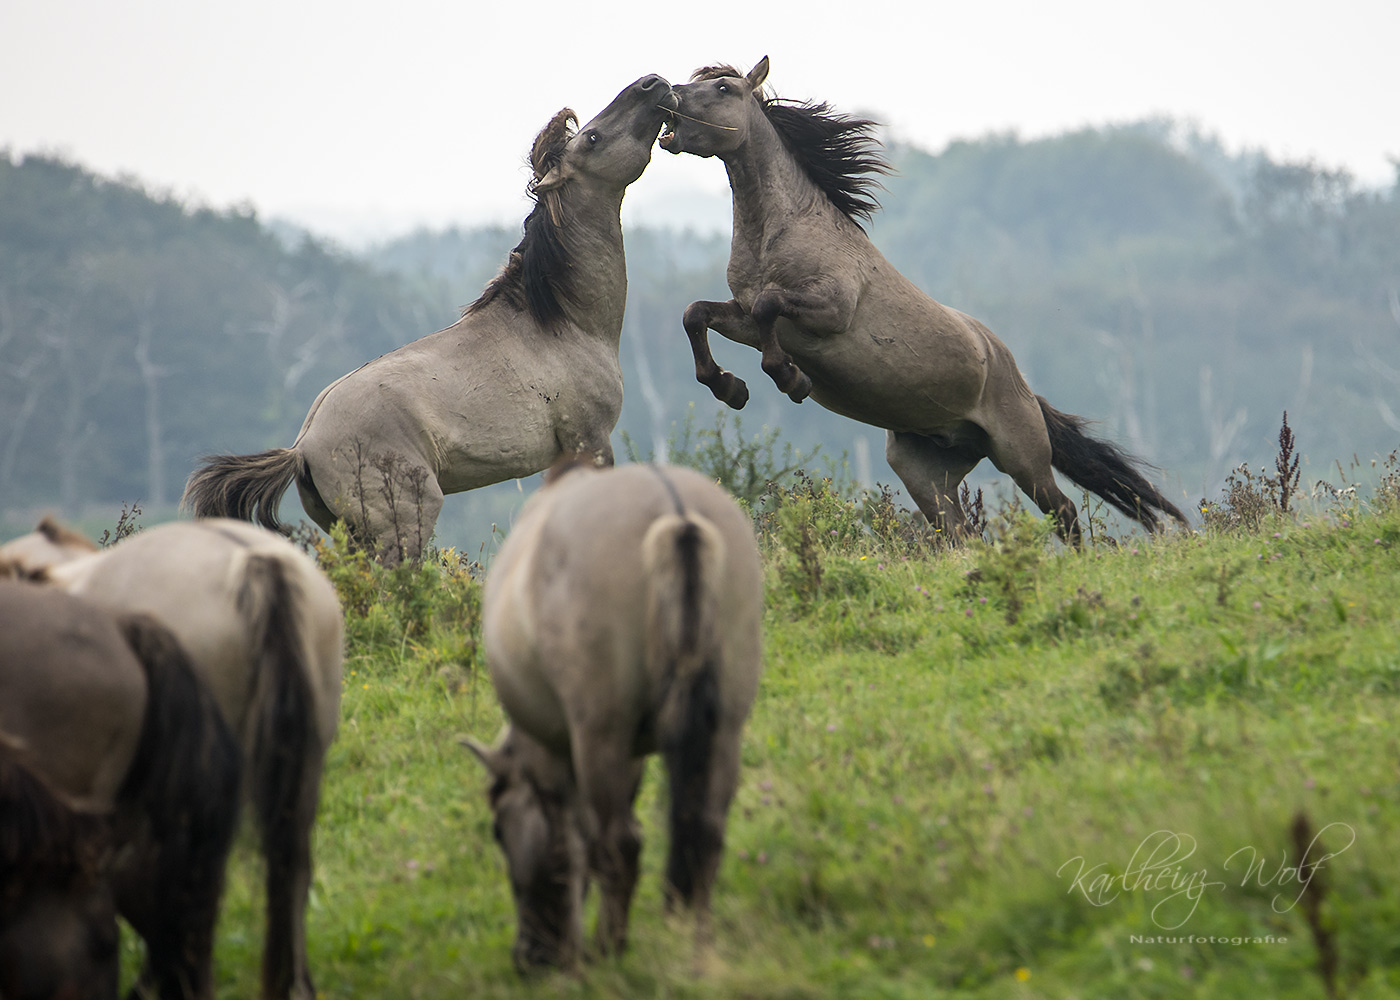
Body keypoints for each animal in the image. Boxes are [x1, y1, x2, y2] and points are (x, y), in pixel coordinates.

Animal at [180, 75, 683, 560]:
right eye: (592, 138)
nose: (653, 83)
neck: (563, 323)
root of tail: (302, 447)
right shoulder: (590, 441)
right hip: (405, 524)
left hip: (352, 534)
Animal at [464, 456, 761, 963]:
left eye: (499, 831)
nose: (529, 957)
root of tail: (676, 514)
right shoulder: (632, 755)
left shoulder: (560, 757)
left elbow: (570, 849)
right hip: (724, 727)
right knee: (704, 831)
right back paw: (697, 948)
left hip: (599, 732)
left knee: (620, 844)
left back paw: (608, 951)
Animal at [655, 58, 1181, 540]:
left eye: (723, 88)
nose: (667, 95)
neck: (782, 231)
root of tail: (1019, 380)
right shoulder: (744, 319)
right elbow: (695, 314)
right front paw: (729, 388)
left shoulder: (829, 309)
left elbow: (768, 311)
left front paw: (791, 379)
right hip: (926, 472)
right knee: (959, 533)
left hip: (1022, 456)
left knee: (1064, 513)